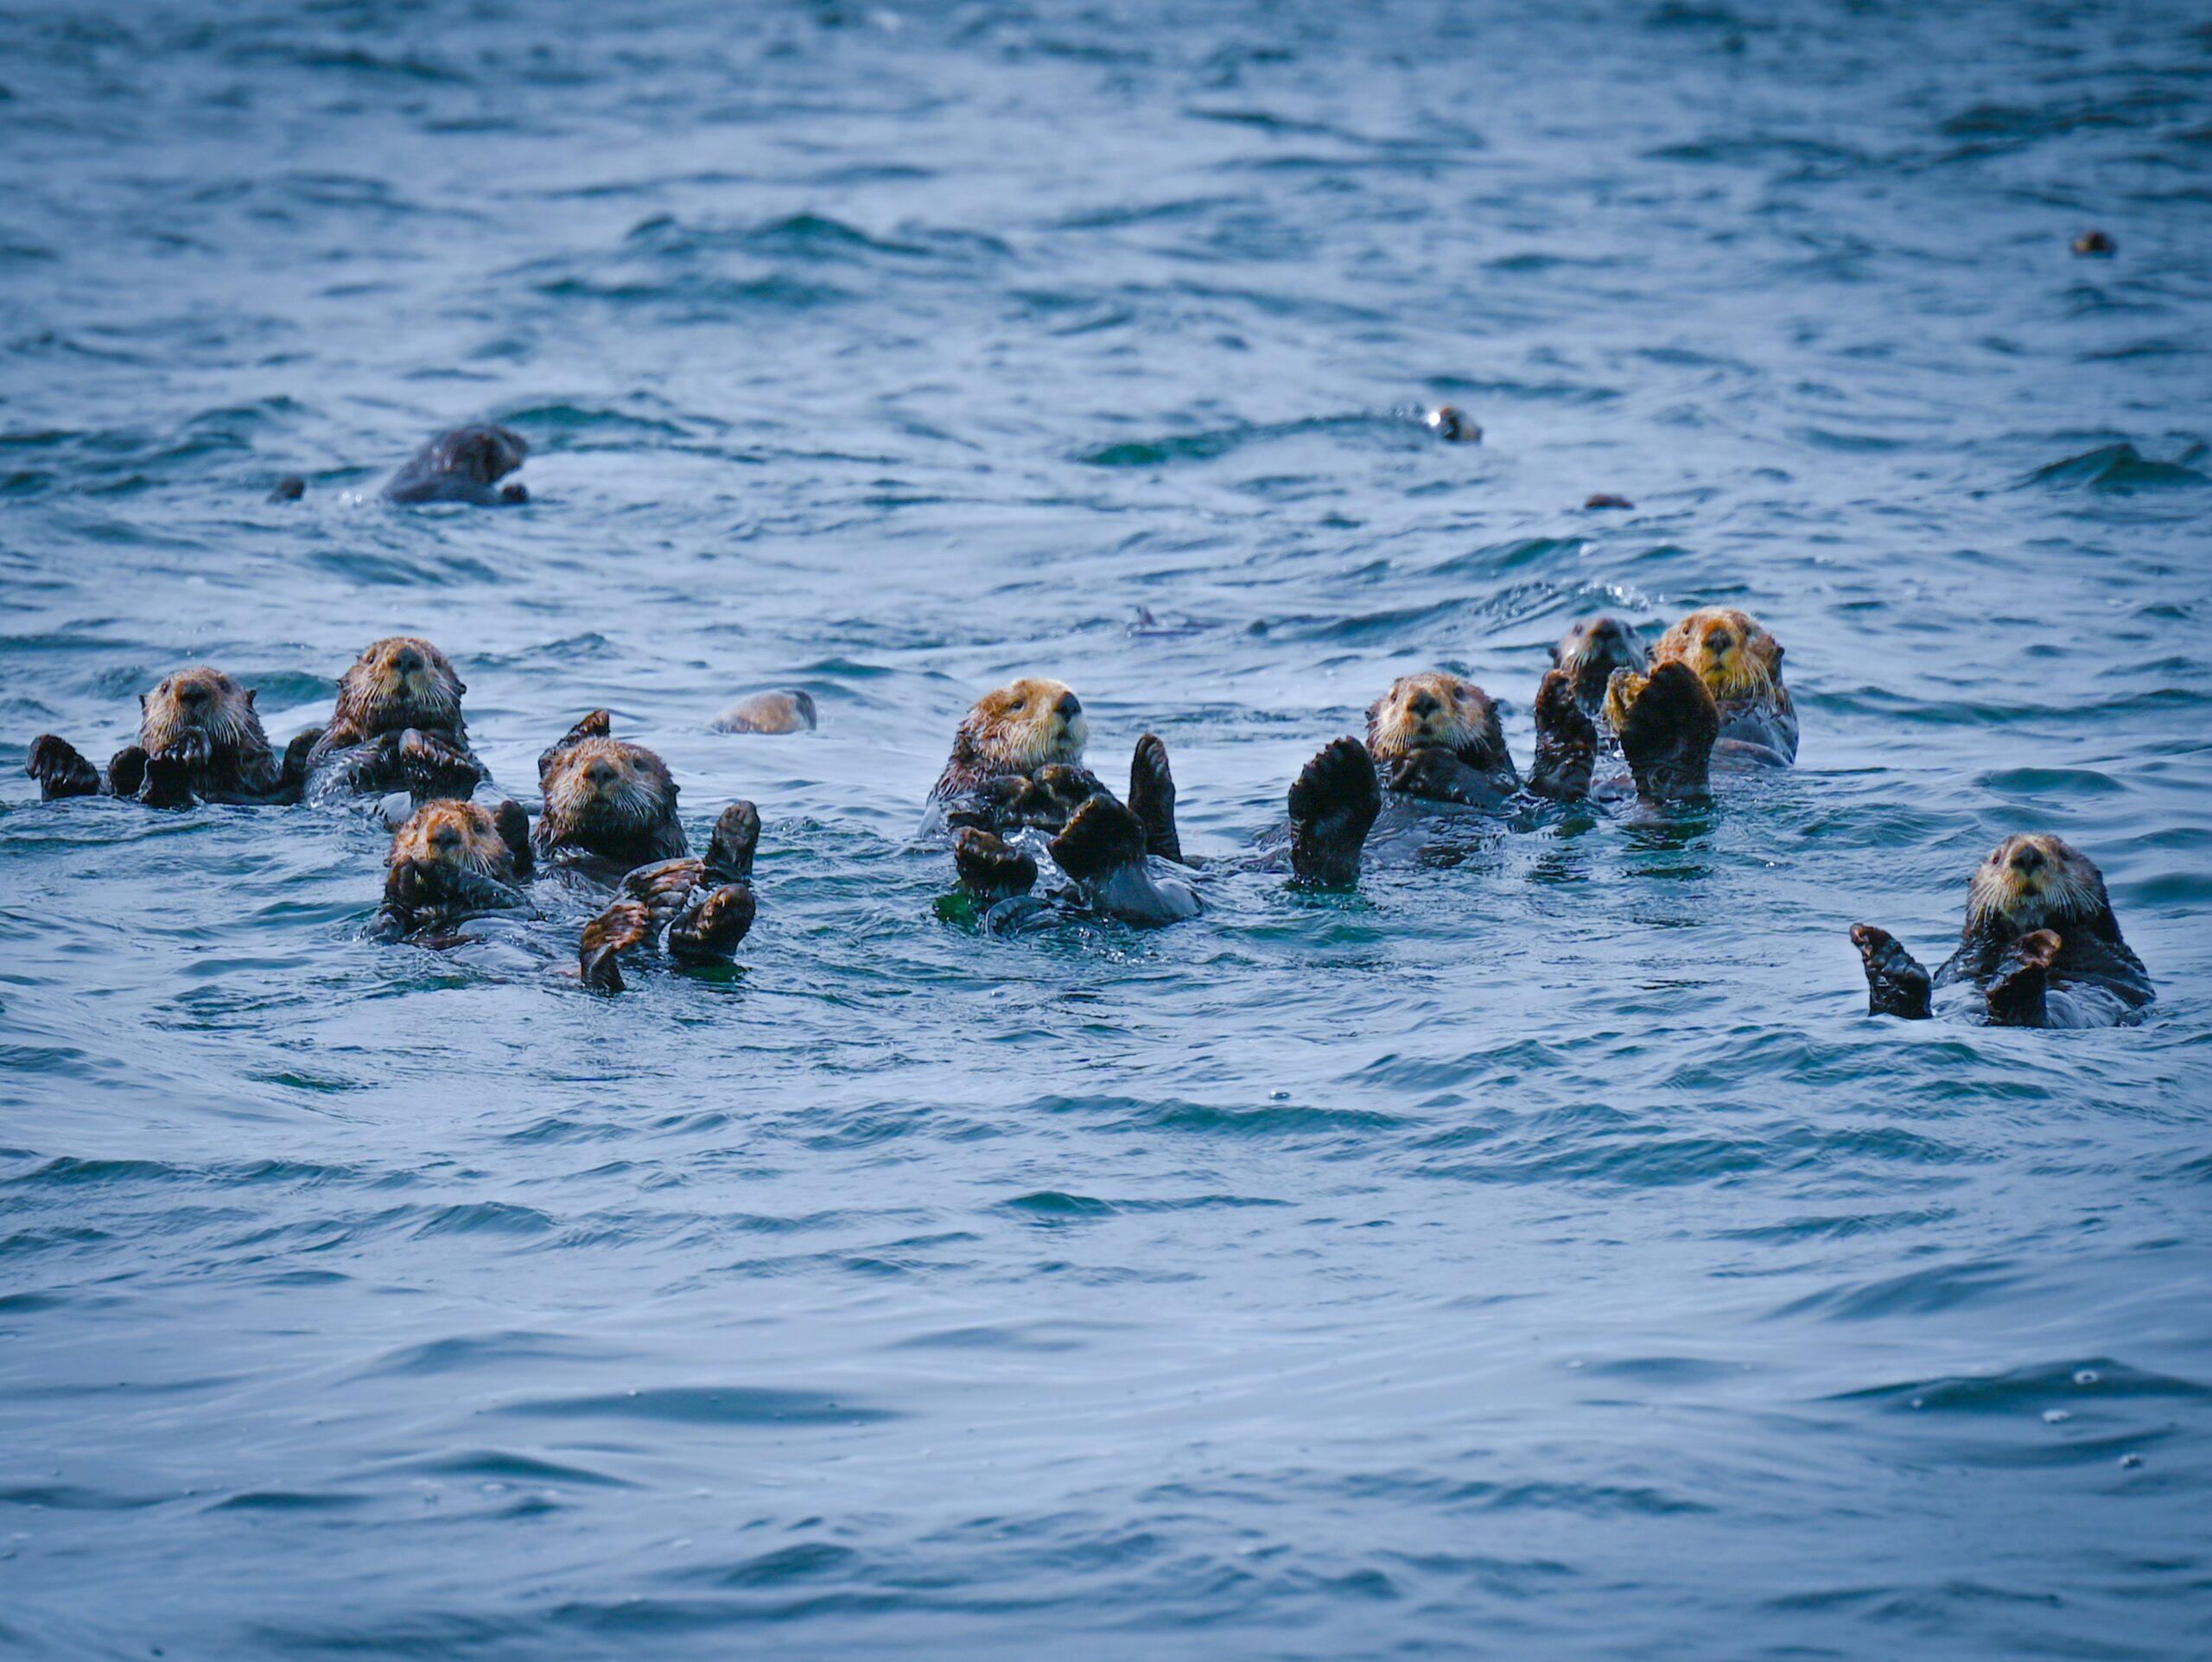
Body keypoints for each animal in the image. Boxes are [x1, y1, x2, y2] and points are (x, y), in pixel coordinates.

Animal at [302, 636, 488, 804]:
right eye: (371, 659)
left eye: (436, 662)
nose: (406, 656)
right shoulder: (326, 752)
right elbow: (331, 770)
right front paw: (394, 737)